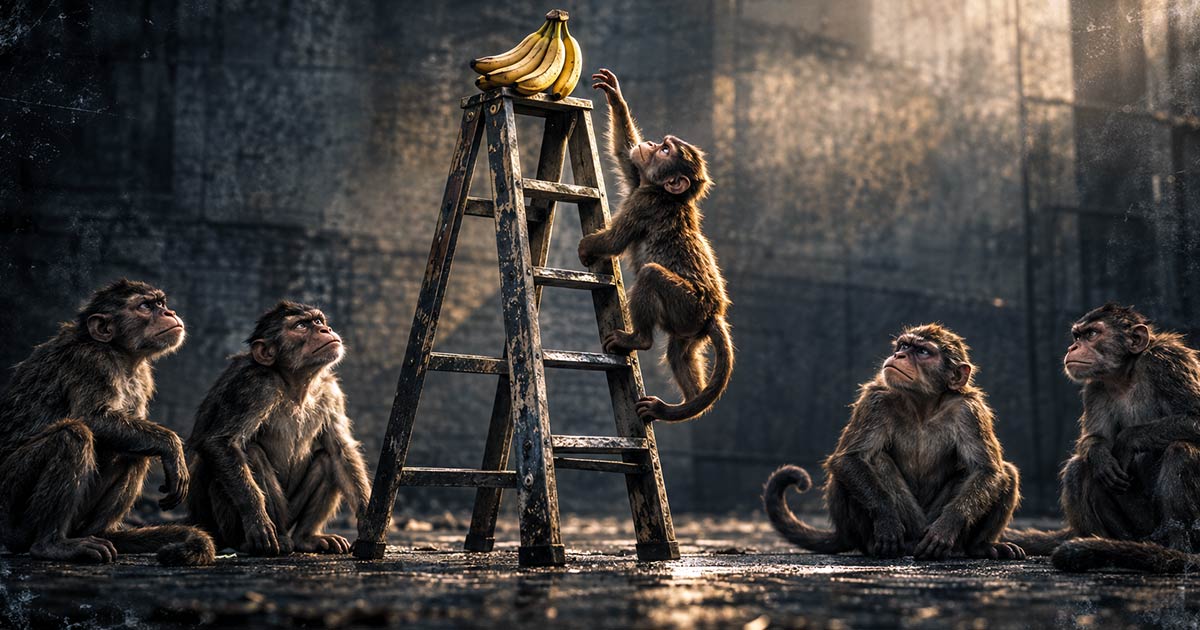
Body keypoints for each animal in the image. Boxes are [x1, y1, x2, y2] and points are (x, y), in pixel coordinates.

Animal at [0, 279, 215, 566]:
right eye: (145, 306)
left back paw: (100, 533)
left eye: (161, 303)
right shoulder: (92, 361)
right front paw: (172, 447)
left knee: (134, 451)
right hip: (10, 504)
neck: (120, 353)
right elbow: (92, 417)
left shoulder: (142, 377)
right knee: (71, 436)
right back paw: (50, 544)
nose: (168, 313)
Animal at [185, 301, 370, 556]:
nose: (325, 329)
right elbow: (220, 443)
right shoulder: (254, 385)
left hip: (292, 513)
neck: (295, 383)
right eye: (301, 326)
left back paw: (306, 538)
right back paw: (257, 541)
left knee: (327, 460)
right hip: (236, 525)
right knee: (250, 453)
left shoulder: (331, 392)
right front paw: (257, 519)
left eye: (318, 321)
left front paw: (368, 515)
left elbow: (341, 450)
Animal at [576, 68, 733, 424]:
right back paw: (684, 405)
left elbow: (615, 240)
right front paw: (616, 96)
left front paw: (587, 246)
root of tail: (714, 312)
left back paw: (639, 339)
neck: (665, 193)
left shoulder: (644, 203)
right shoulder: (641, 182)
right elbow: (626, 156)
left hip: (687, 304)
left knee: (650, 275)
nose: (650, 144)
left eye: (665, 151)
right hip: (690, 325)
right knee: (680, 353)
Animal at [763, 324, 1025, 560]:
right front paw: (886, 518)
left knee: (1006, 473)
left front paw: (948, 525)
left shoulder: (969, 411)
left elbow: (987, 470)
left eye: (923, 352)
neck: (923, 406)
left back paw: (978, 547)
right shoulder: (876, 399)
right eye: (904, 346)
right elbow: (849, 459)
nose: (899, 355)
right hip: (897, 527)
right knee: (872, 461)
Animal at [1004, 304, 1200, 572]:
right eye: (1077, 336)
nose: (1072, 348)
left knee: (1181, 450)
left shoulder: (1167, 362)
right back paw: (1108, 546)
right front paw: (1099, 455)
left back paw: (1178, 551)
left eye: (1092, 334)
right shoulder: (1095, 386)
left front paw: (1128, 440)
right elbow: (1093, 439)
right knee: (1078, 468)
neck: (1128, 373)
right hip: (1140, 525)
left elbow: (1195, 419)